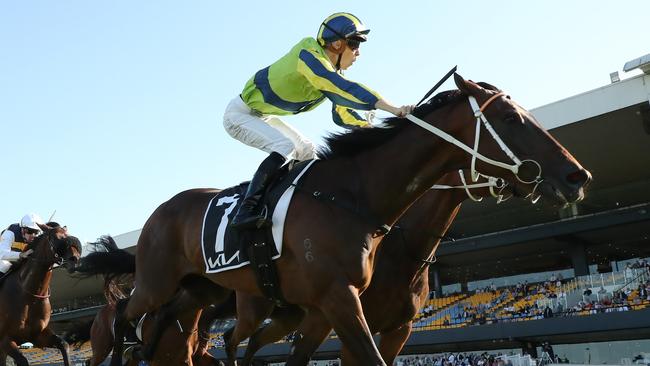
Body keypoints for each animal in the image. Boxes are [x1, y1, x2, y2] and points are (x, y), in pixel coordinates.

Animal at [0, 226, 82, 366]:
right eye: (55, 237)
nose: (75, 259)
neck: (28, 296)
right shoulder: (5, 339)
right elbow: (23, 360)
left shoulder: (38, 335)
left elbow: (64, 345)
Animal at [100, 75, 588, 366]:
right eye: (510, 117)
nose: (576, 176)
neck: (356, 197)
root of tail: (160, 211)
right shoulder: (340, 299)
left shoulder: (333, 312)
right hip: (157, 280)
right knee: (126, 316)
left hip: (203, 288)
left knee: (178, 326)